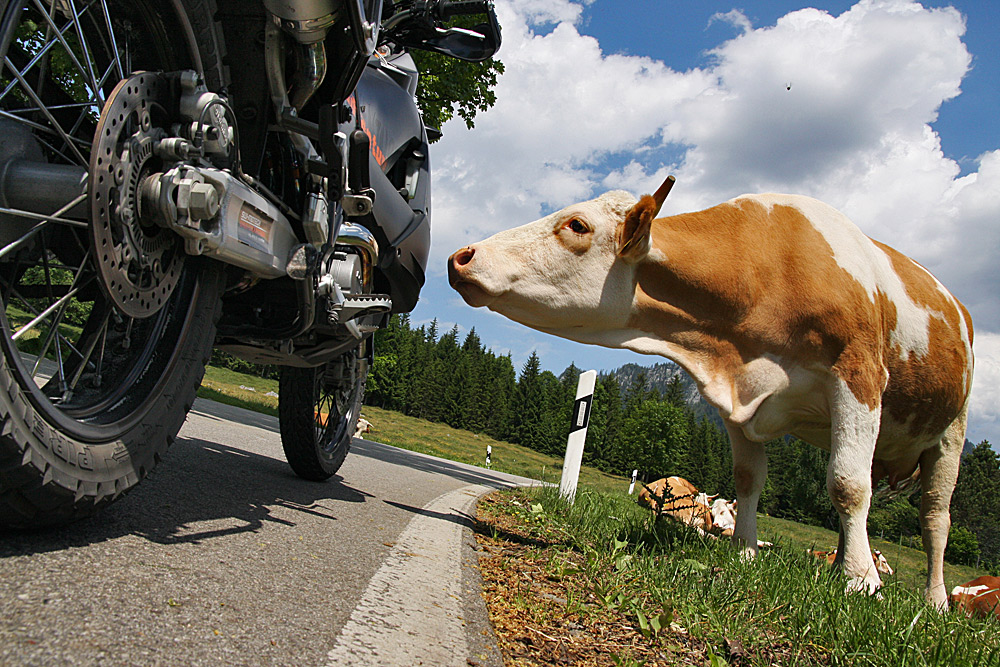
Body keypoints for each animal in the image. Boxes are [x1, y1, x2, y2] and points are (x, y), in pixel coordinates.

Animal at [448, 177, 976, 612]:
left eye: (577, 225)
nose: (461, 256)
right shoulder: (737, 401)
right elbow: (748, 480)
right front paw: (745, 555)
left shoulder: (858, 375)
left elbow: (848, 484)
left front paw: (861, 582)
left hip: (951, 429)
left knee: (935, 517)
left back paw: (933, 603)